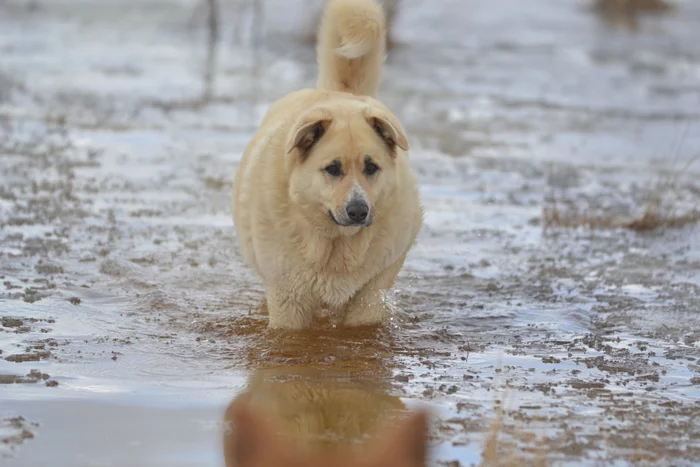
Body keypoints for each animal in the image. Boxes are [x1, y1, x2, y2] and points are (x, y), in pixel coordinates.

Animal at [234, 0, 422, 330]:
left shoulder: (372, 292)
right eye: (333, 168)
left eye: (371, 167)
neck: (336, 244)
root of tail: (343, 93)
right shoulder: (287, 298)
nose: (358, 210)